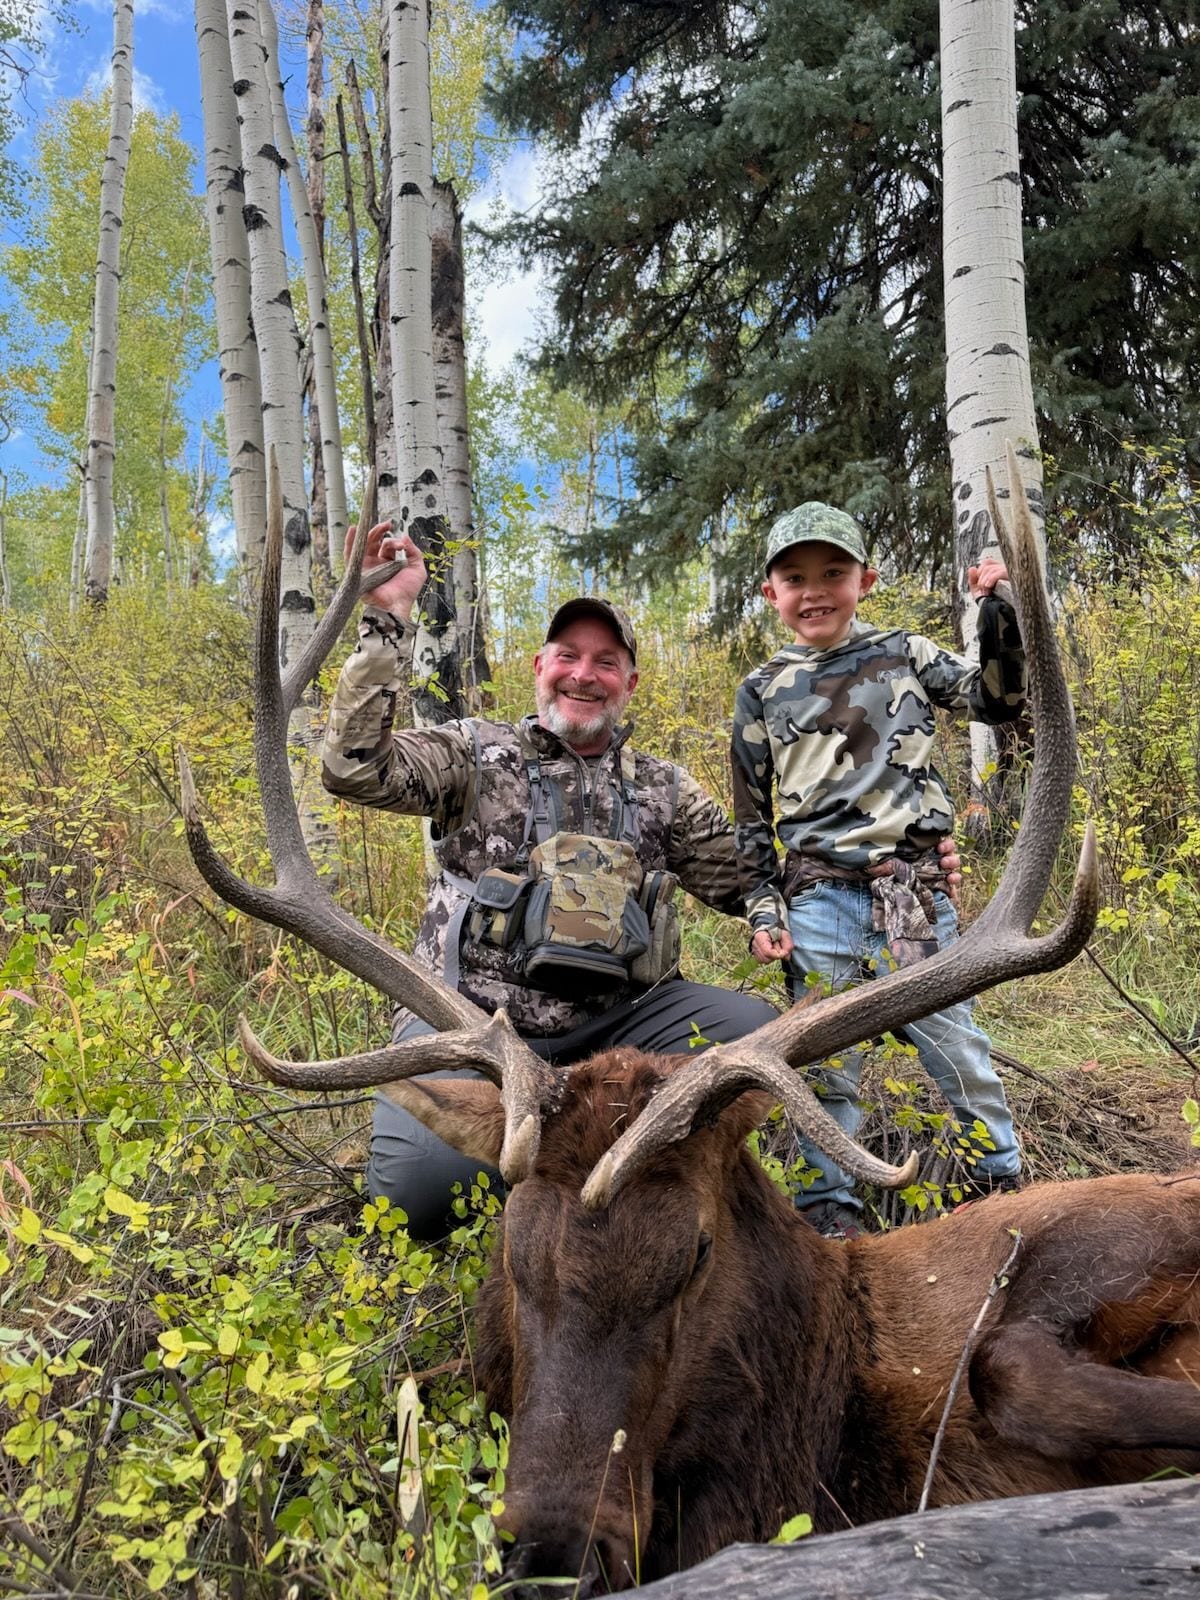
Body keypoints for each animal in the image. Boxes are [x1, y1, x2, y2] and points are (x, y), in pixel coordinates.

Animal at [179, 452, 1200, 1594]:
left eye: (697, 1254)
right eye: (511, 1254)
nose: (551, 1550)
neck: (833, 1426)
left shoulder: (1108, 1229)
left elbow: (1011, 1359)